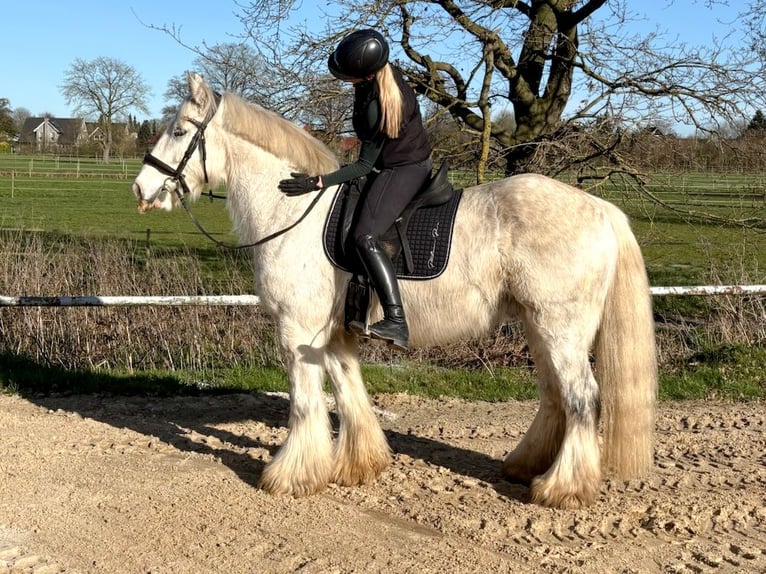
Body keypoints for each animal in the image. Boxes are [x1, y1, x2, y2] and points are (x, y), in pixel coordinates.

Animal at [132, 73, 657, 509]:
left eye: (178, 131)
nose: (140, 189)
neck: (293, 213)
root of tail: (601, 209)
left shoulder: (297, 330)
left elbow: (305, 402)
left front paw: (291, 477)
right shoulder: (333, 333)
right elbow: (348, 393)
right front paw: (358, 466)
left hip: (559, 326)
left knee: (582, 397)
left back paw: (562, 488)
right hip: (538, 325)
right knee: (554, 395)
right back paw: (527, 467)